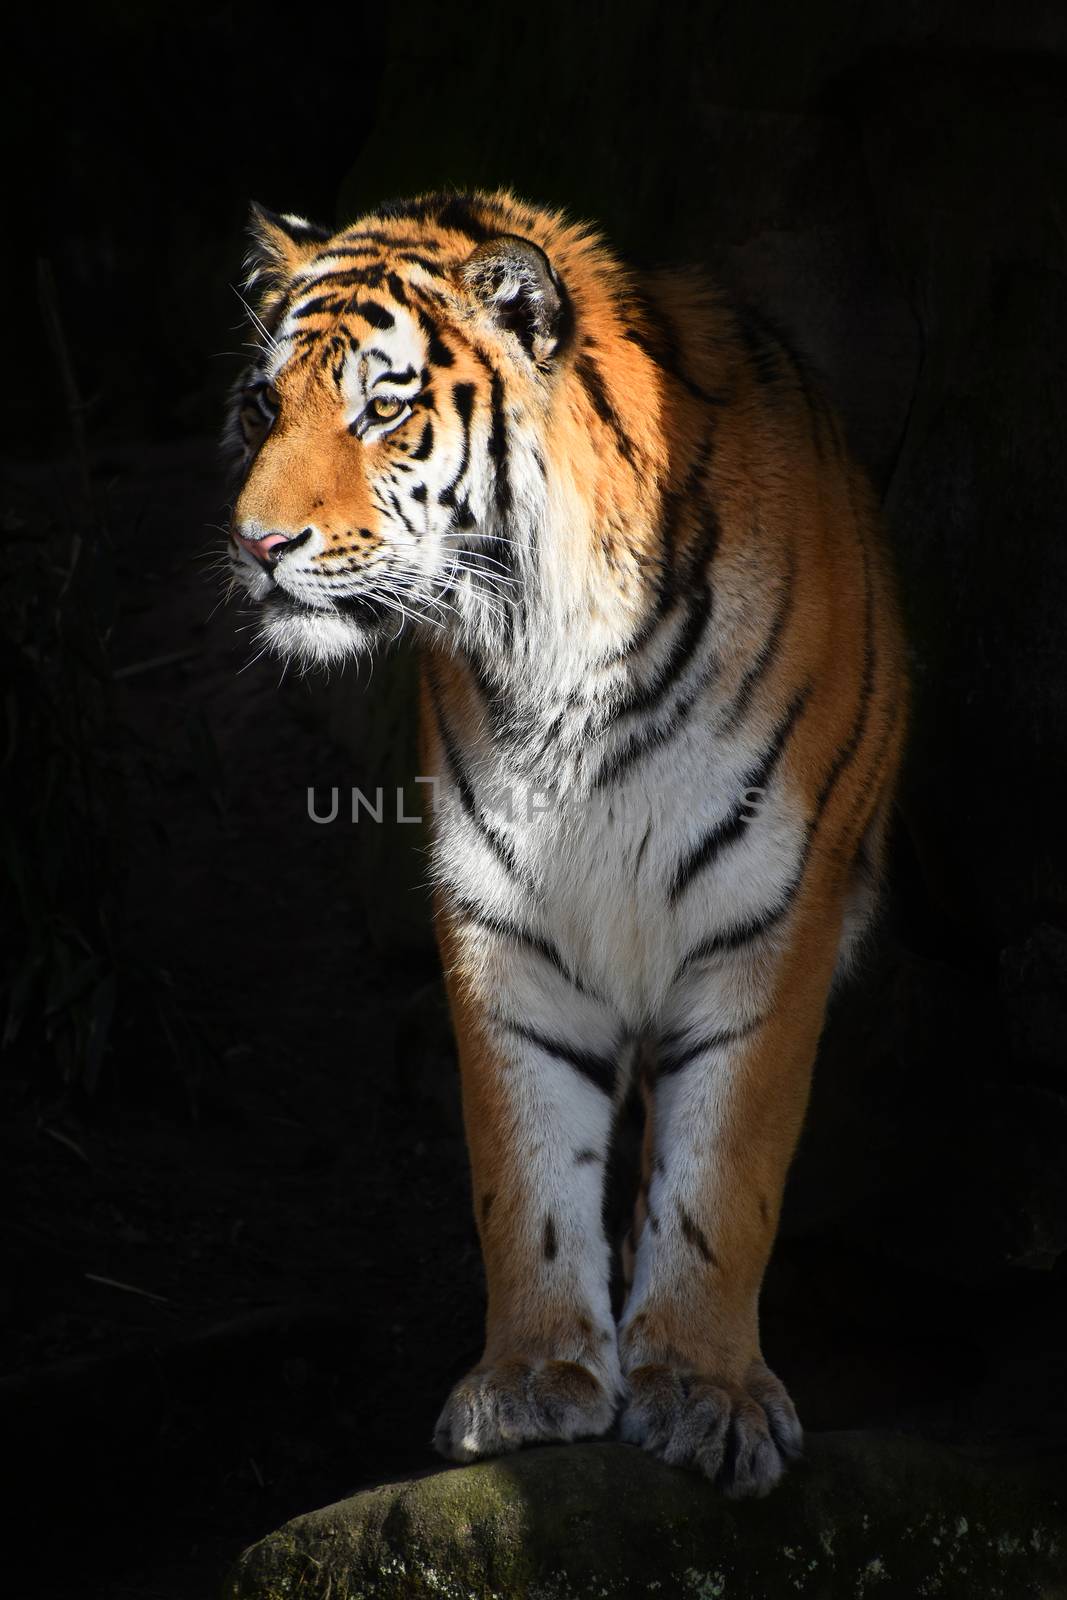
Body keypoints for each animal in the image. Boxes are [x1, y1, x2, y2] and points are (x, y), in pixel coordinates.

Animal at [225, 187, 908, 1497]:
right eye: (259, 408)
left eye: (382, 408)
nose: (257, 546)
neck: (559, 651)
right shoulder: (502, 920)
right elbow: (525, 1164)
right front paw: (533, 1379)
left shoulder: (764, 913)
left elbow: (721, 1175)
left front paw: (703, 1391)